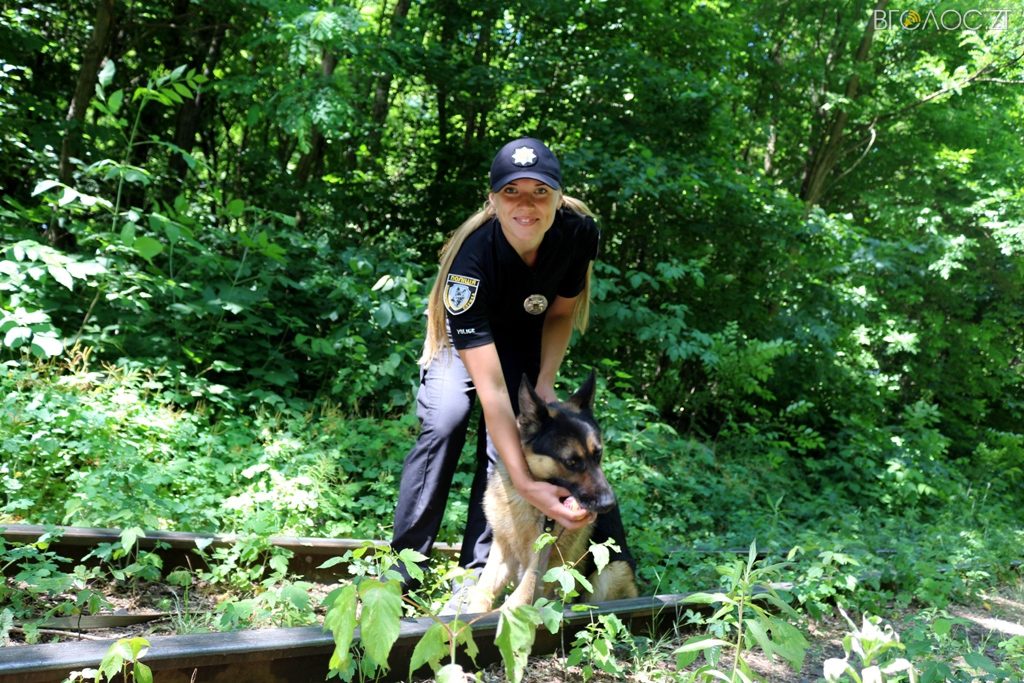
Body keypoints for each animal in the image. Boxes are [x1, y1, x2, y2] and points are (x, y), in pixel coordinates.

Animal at [467, 372, 638, 612]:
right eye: (571, 462)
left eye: (598, 454)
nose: (609, 504)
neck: (528, 502)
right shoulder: (502, 553)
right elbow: (482, 594)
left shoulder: (544, 566)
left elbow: (513, 606)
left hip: (612, 570)